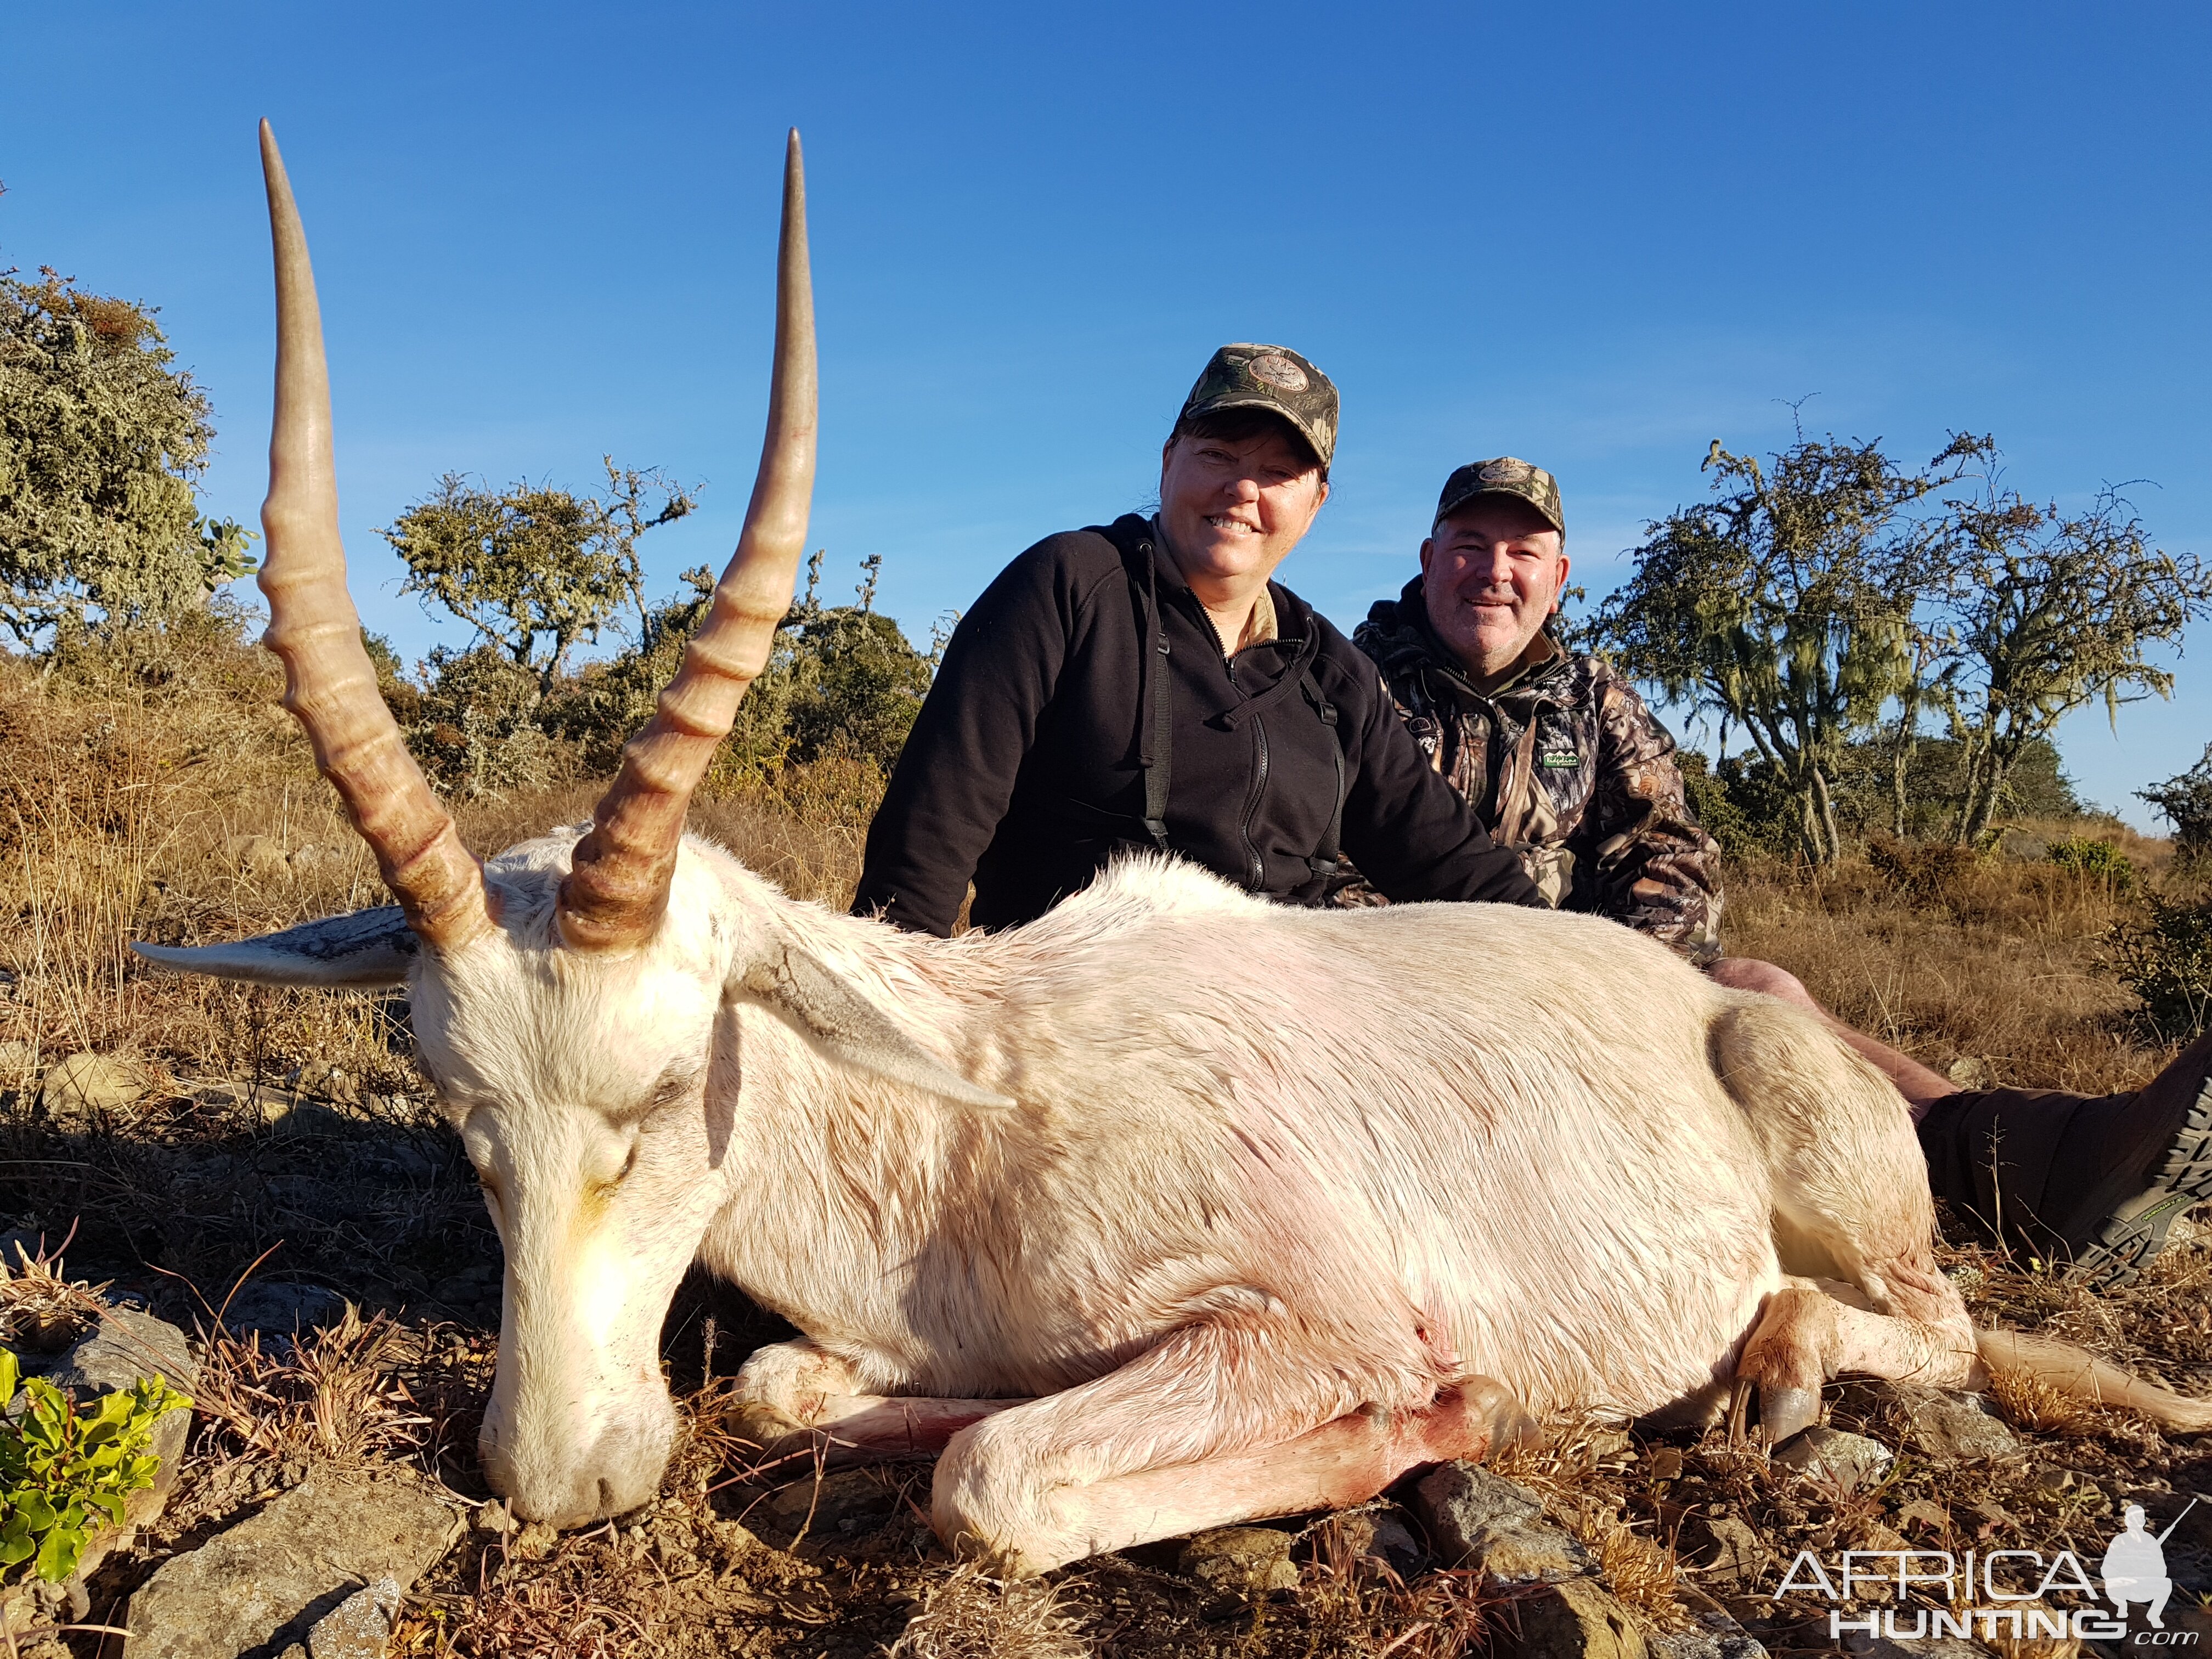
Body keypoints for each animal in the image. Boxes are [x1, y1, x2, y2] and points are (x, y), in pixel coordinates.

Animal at [143, 123, 2212, 1575]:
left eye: (663, 1090)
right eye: (454, 1104)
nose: (553, 1477)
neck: (959, 1130)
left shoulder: (1310, 1319)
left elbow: (998, 1477)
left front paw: (1428, 1428)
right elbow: (799, 1383)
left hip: (1843, 1182)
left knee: (1932, 1323)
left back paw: (1770, 1361)